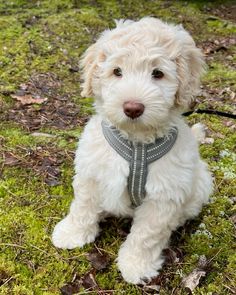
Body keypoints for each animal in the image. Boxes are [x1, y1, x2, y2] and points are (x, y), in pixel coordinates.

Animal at [52, 17, 213, 284]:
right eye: (117, 71)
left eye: (158, 73)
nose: (133, 107)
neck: (136, 143)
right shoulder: (92, 172)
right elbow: (83, 206)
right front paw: (72, 233)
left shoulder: (163, 195)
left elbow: (146, 235)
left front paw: (136, 265)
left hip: (200, 182)